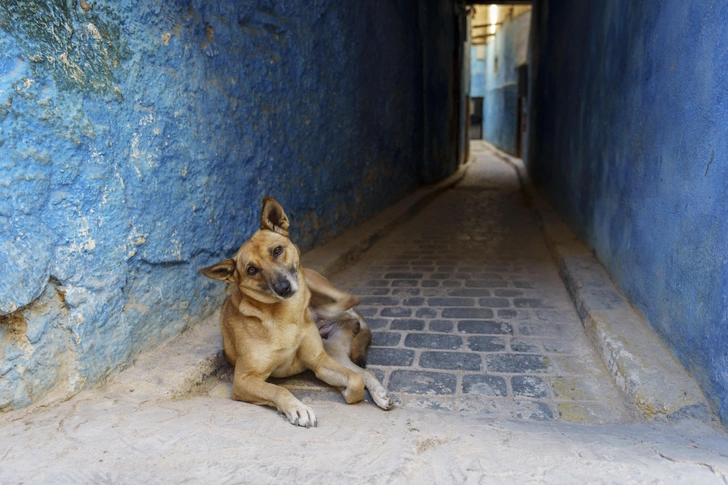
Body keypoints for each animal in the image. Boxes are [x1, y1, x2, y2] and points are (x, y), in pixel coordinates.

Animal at [199, 195, 392, 426]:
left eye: (277, 250)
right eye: (252, 270)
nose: (284, 288)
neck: (285, 315)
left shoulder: (318, 361)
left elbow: (355, 381)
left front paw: (344, 390)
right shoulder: (244, 379)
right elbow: (279, 390)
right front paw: (298, 409)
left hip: (312, 280)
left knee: (348, 303)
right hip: (334, 351)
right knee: (363, 370)